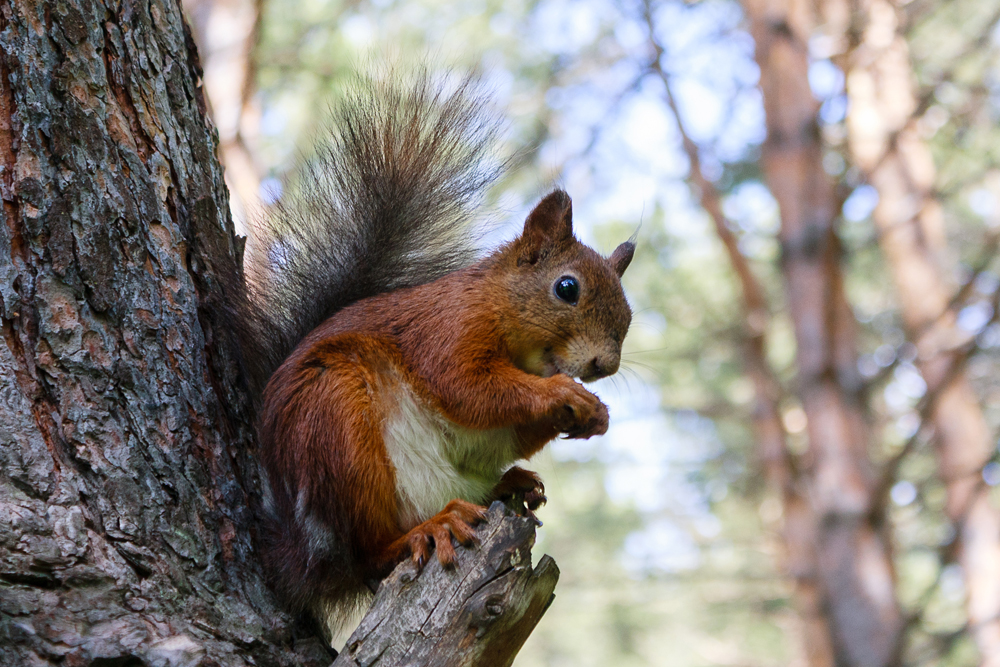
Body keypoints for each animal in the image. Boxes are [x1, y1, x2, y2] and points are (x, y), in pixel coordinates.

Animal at [234, 69, 632, 636]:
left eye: (629, 312)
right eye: (567, 288)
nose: (604, 366)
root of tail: (302, 558)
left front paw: (593, 416)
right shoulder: (445, 331)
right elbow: (468, 387)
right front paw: (563, 394)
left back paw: (511, 483)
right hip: (337, 425)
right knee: (368, 554)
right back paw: (426, 530)